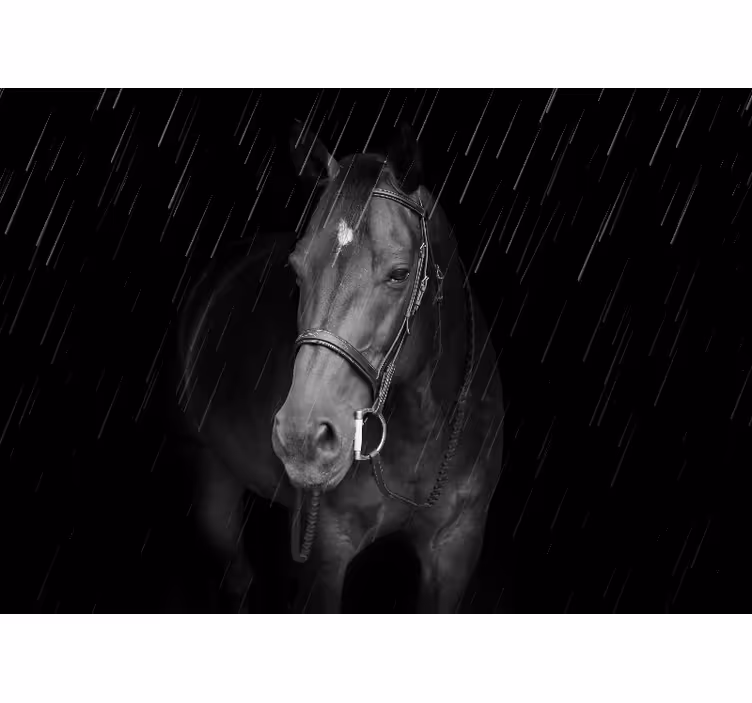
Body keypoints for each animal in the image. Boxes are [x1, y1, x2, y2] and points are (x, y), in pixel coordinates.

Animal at [176, 122, 505, 613]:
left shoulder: (456, 547)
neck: (420, 432)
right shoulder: (326, 553)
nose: (301, 438)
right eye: (296, 269)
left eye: (400, 273)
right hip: (211, 471)